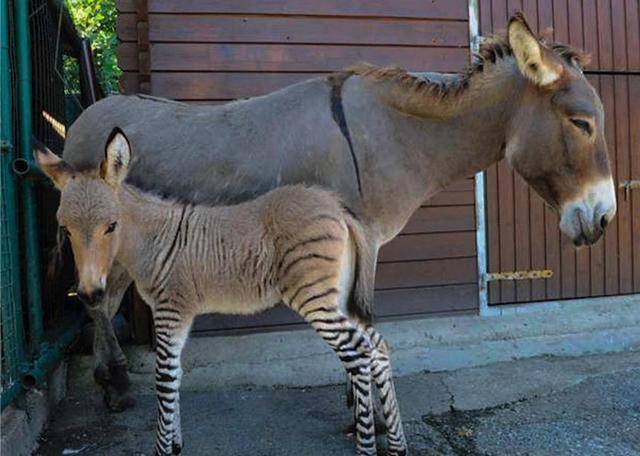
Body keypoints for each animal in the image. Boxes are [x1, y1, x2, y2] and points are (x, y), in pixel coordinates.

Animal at [35, 129, 404, 456]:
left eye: (111, 226)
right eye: (65, 229)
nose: (88, 295)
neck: (152, 240)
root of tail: (337, 207)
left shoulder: (170, 310)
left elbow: (164, 379)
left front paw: (163, 449)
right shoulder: (174, 314)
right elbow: (175, 375)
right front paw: (176, 444)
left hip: (314, 296)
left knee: (358, 353)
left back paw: (367, 446)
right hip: (337, 295)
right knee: (377, 345)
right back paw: (397, 445)